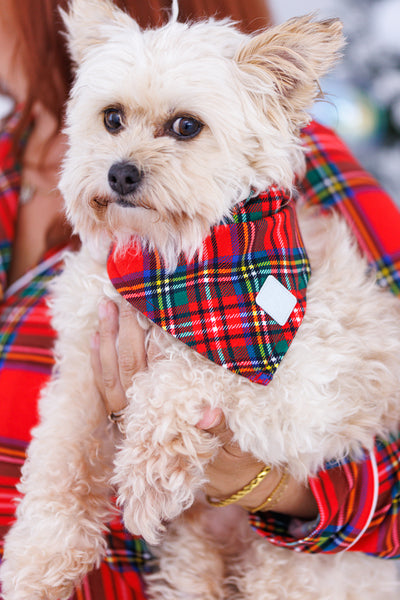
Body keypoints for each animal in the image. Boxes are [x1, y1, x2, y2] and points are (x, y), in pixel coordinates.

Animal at [0, 1, 400, 600]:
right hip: (193, 556)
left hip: (292, 571)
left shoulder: (296, 390)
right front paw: (40, 558)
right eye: (111, 118)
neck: (172, 268)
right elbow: (59, 457)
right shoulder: (82, 370)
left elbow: (184, 375)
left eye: (186, 126)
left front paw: (145, 480)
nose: (120, 172)